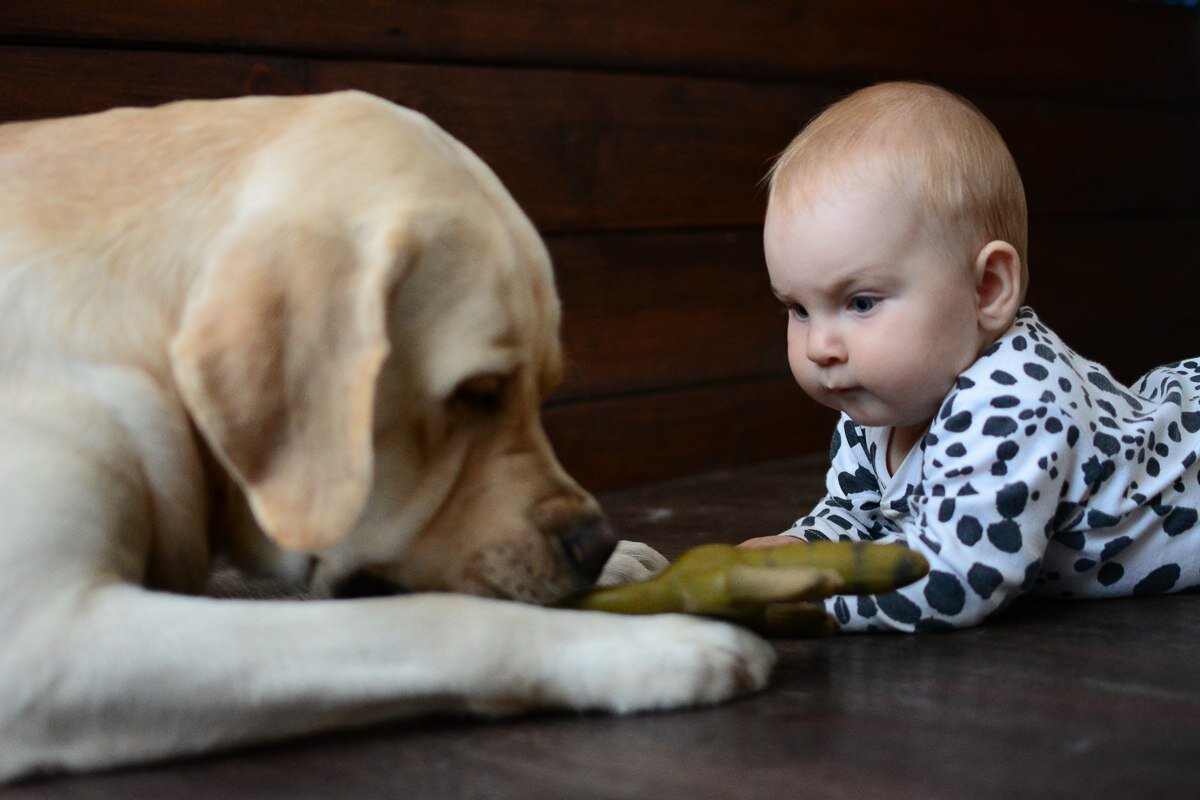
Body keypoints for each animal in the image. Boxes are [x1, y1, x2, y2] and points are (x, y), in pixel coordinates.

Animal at [0, 89, 772, 782]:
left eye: (546, 388)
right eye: (476, 394)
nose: (595, 542)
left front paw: (626, 563)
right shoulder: (47, 638)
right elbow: (432, 620)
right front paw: (656, 645)